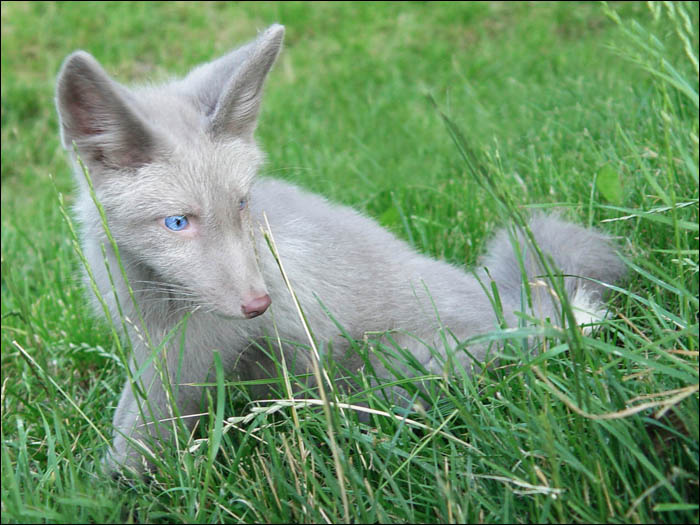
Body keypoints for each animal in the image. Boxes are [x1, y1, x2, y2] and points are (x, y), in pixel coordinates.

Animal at [55, 24, 626, 475]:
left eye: (241, 204)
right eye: (178, 222)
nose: (259, 304)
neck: (150, 289)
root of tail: (524, 313)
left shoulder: (187, 358)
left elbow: (135, 443)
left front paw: (103, 494)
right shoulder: (149, 348)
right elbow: (127, 420)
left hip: (392, 370)